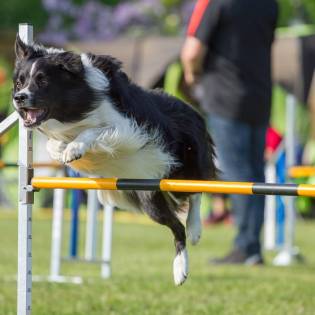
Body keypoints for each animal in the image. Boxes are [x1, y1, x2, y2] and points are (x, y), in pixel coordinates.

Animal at [12, 34, 217, 286]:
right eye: (19, 83)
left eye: (43, 81)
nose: (18, 98)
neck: (78, 105)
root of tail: (191, 109)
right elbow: (53, 144)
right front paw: (62, 149)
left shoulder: (127, 129)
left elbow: (94, 131)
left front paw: (74, 148)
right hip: (150, 196)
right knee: (177, 225)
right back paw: (180, 268)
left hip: (183, 166)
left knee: (196, 193)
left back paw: (191, 241)